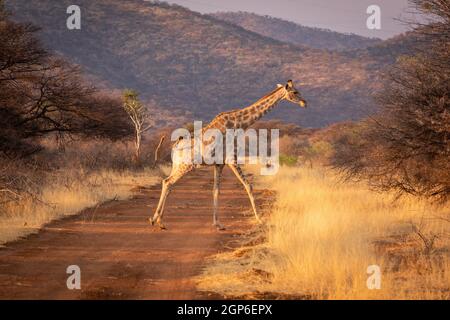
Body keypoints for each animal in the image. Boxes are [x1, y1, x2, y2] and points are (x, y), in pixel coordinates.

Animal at [150, 80, 306, 230]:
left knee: (167, 183)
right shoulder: (232, 159)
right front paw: (260, 220)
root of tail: (175, 146)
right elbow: (248, 186)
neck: (240, 123)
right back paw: (157, 220)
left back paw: (158, 220)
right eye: (295, 91)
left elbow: (216, 191)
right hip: (186, 165)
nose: (304, 102)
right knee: (168, 182)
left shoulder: (219, 163)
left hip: (177, 165)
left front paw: (218, 224)